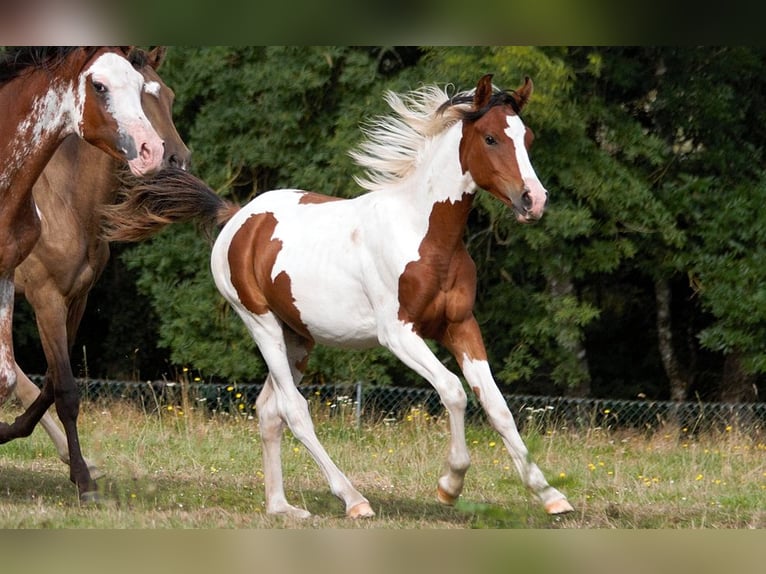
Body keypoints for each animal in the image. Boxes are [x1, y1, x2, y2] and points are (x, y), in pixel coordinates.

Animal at [103, 74, 576, 520]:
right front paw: (450, 485)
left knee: (268, 411)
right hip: (262, 326)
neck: (424, 235)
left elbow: (497, 406)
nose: (533, 200)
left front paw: (551, 496)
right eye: (491, 138)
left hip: (297, 337)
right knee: (294, 411)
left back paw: (281, 506)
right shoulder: (398, 334)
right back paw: (353, 499)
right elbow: (454, 391)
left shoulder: (460, 326)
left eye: (528, 138)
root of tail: (237, 216)